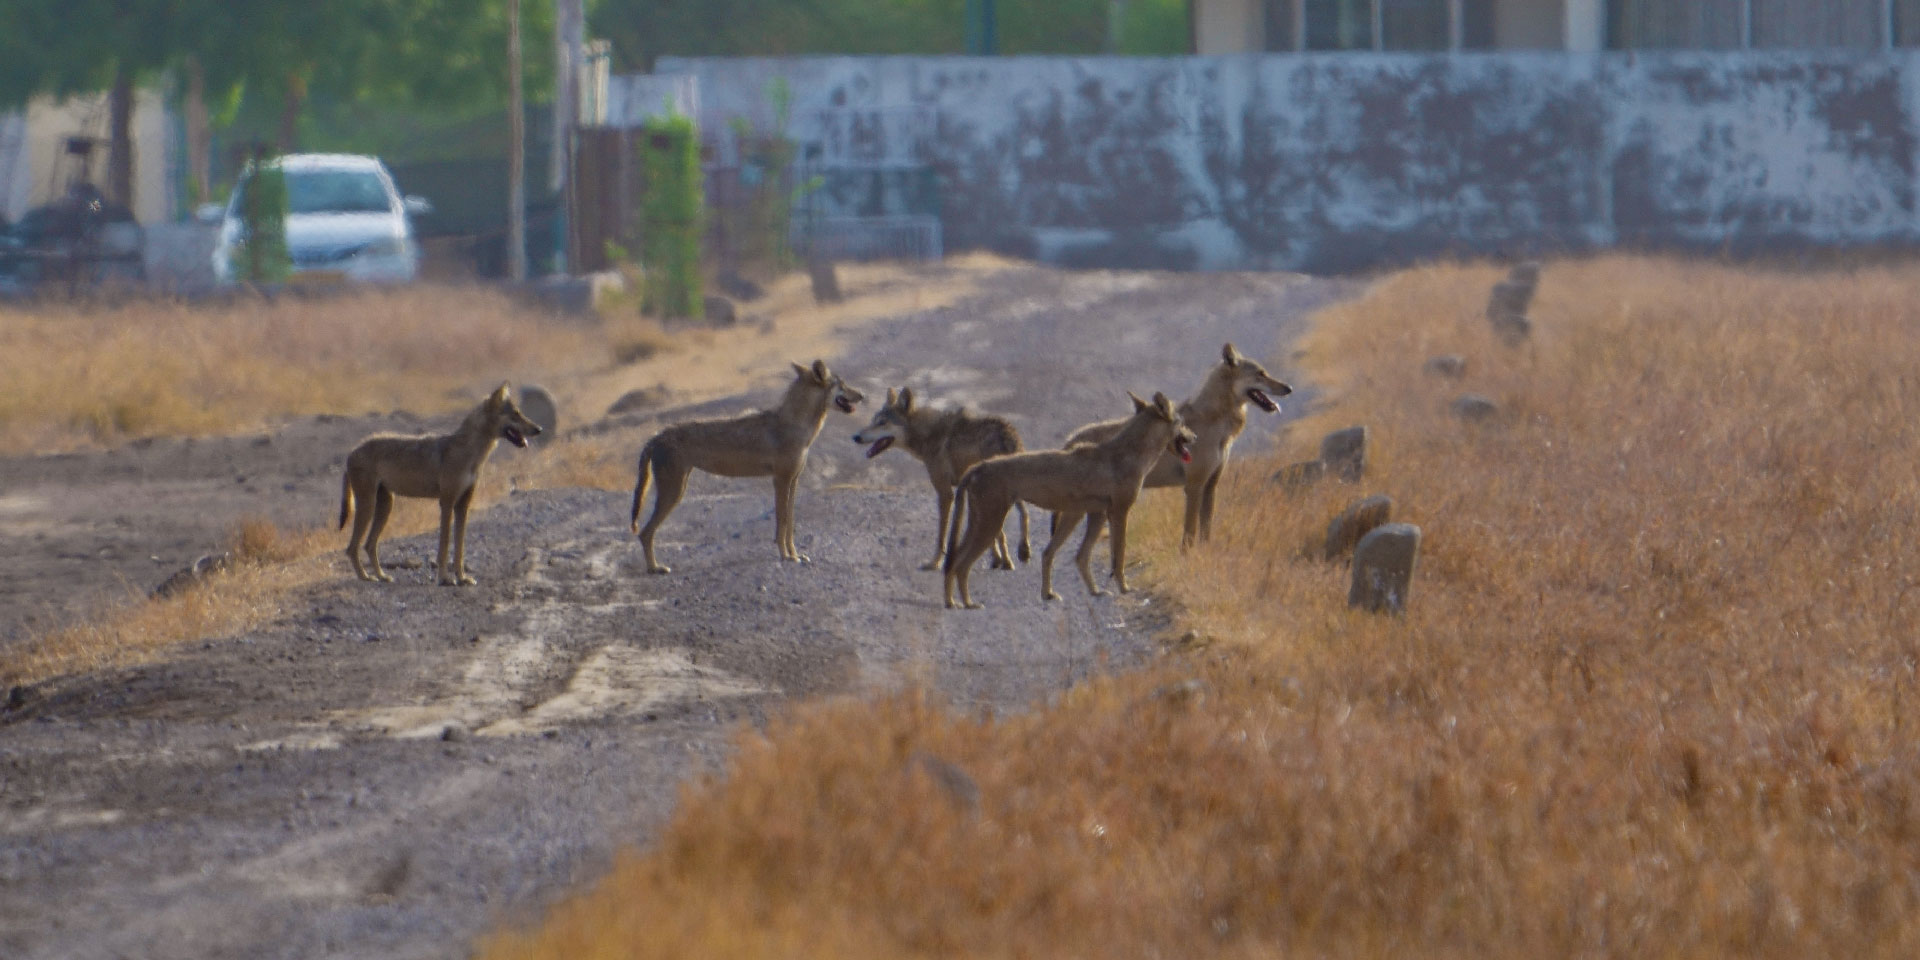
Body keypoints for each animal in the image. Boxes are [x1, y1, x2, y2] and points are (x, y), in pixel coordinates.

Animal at [339, 382, 541, 583]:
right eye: (515, 414)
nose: (539, 429)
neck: (471, 455)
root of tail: (351, 452)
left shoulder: (463, 505)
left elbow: (459, 548)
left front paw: (462, 578)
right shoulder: (446, 502)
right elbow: (444, 545)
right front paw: (444, 579)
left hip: (385, 505)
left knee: (369, 545)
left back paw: (381, 576)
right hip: (368, 505)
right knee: (352, 548)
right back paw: (365, 577)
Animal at [629, 359, 864, 568]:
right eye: (842, 384)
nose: (863, 395)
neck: (798, 427)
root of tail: (655, 437)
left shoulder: (793, 480)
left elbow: (790, 523)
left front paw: (796, 555)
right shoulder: (780, 480)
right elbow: (782, 522)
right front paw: (786, 557)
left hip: (677, 489)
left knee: (644, 533)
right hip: (674, 492)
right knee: (644, 533)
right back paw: (656, 569)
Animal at [856, 385, 1036, 568]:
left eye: (882, 423)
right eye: (873, 420)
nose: (856, 437)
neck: (927, 435)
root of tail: (1006, 433)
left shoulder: (945, 491)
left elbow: (942, 532)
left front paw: (934, 561)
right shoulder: (972, 490)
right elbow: (996, 533)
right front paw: (1000, 559)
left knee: (1022, 514)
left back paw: (1022, 551)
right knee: (1024, 513)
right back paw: (1021, 552)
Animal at [940, 391, 1190, 606]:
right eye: (1181, 422)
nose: (1194, 436)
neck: (1133, 454)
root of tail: (977, 467)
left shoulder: (1093, 513)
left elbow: (1079, 556)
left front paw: (1093, 591)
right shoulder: (1119, 511)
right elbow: (1118, 555)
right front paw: (1125, 589)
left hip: (981, 521)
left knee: (954, 560)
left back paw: (952, 603)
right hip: (990, 522)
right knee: (961, 564)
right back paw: (968, 604)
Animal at [1067, 343, 1290, 549]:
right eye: (1261, 374)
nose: (1289, 389)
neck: (1215, 422)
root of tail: (1071, 439)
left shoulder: (1210, 486)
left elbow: (1205, 533)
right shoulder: (1193, 486)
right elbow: (1189, 533)